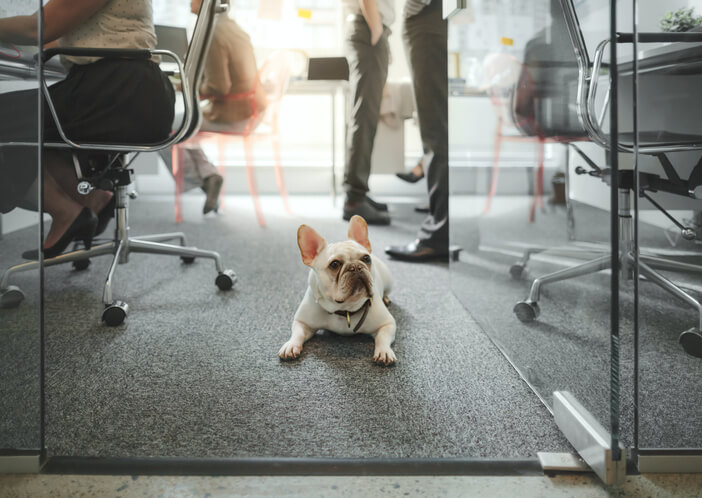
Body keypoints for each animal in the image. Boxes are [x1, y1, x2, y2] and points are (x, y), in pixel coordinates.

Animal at [280, 215, 398, 366]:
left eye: (366, 258)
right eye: (334, 264)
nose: (356, 267)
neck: (344, 309)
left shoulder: (387, 324)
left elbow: (383, 337)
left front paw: (384, 351)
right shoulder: (302, 322)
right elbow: (297, 333)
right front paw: (291, 345)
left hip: (389, 281)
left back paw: (386, 298)